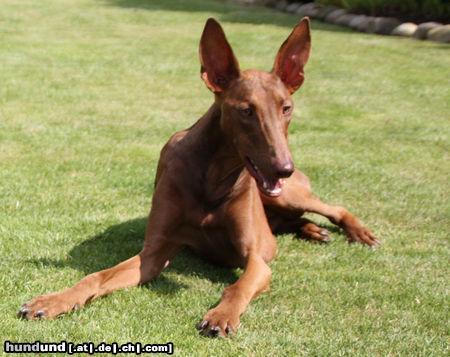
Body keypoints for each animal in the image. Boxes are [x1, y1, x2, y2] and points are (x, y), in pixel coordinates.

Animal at [20, 17, 380, 336]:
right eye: (246, 110)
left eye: (286, 108)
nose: (283, 168)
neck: (214, 177)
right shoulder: (154, 253)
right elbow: (96, 276)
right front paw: (55, 300)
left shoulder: (256, 259)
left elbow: (237, 287)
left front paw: (221, 316)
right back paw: (313, 230)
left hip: (288, 195)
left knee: (333, 208)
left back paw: (356, 232)